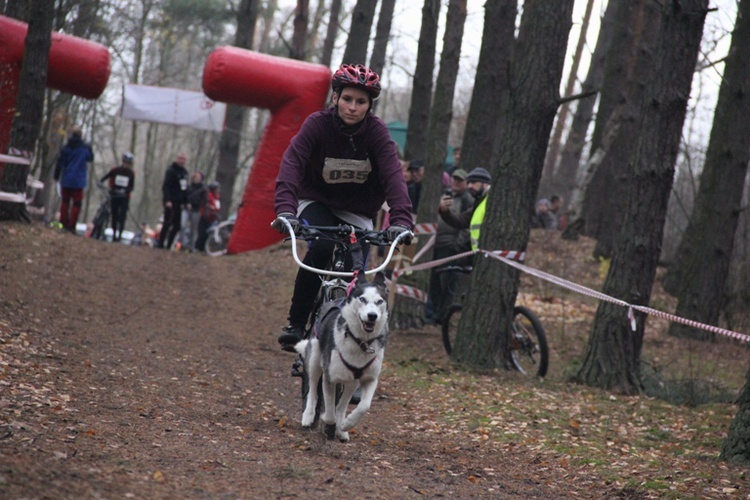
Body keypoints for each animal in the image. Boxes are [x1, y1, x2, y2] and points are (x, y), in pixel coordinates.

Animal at [296, 274, 390, 442]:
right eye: (362, 299)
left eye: (380, 301)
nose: (372, 316)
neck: (360, 342)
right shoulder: (330, 378)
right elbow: (329, 412)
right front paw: (327, 421)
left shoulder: (370, 379)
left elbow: (363, 406)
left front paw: (347, 424)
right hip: (314, 359)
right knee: (312, 389)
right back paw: (308, 416)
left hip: (353, 381)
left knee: (342, 405)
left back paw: (342, 428)